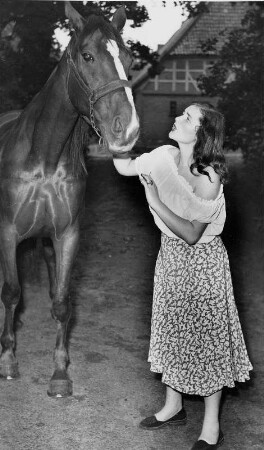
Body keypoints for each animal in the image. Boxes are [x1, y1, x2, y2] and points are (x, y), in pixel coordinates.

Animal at [0, 2, 140, 398]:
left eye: (127, 57)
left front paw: (60, 373)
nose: (128, 129)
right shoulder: (7, 232)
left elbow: (62, 302)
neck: (44, 158)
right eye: (88, 55)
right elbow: (11, 292)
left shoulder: (66, 235)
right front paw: (8, 359)